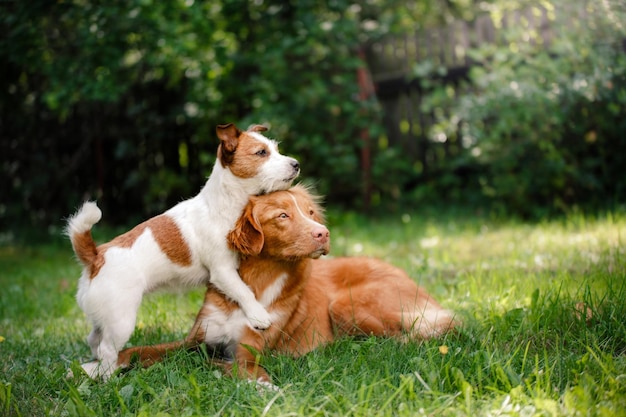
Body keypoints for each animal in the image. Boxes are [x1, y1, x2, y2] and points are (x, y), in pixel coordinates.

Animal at [64, 122, 298, 378]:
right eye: (261, 153)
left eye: (276, 149)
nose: (296, 164)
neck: (224, 204)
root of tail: (96, 257)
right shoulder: (222, 271)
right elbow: (243, 291)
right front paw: (259, 315)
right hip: (121, 321)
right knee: (106, 349)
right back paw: (107, 378)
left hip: (104, 317)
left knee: (94, 339)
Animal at [118, 185, 458, 386]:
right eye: (283, 215)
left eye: (310, 213)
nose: (323, 233)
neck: (255, 284)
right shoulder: (195, 339)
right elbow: (140, 349)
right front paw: (110, 365)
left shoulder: (248, 352)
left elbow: (230, 365)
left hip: (346, 305)